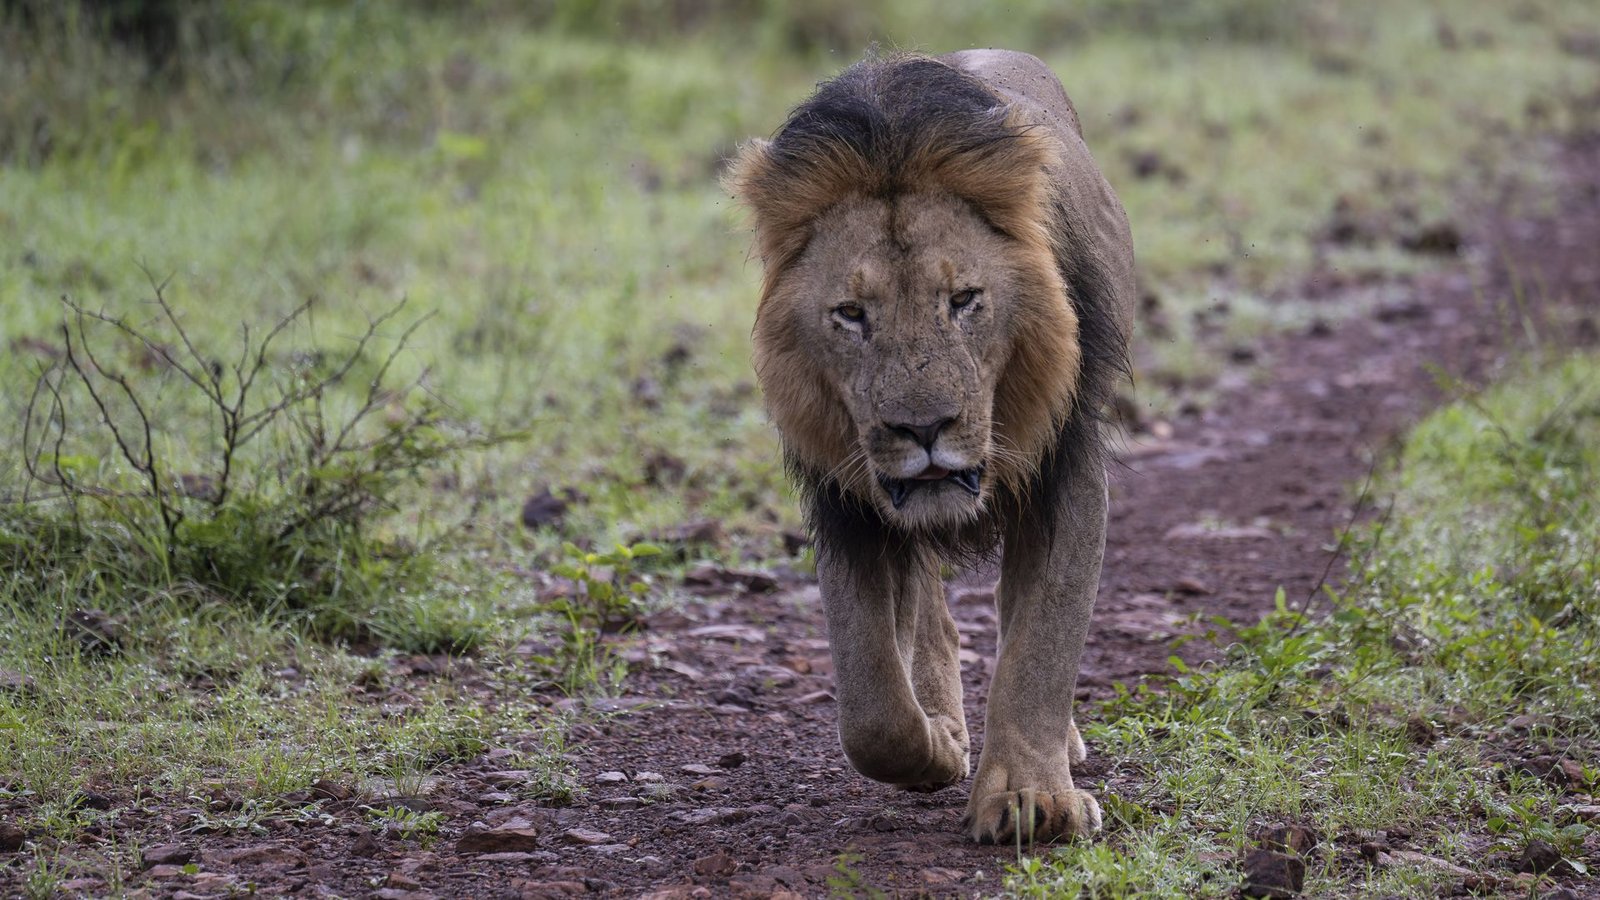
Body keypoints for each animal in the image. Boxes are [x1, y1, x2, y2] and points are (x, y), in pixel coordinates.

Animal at [728, 50, 1135, 844]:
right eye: (851, 314)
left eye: (964, 300)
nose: (923, 430)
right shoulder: (845, 498)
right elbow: (870, 703)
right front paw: (937, 750)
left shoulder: (1067, 465)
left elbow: (1044, 641)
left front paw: (1031, 799)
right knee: (929, 616)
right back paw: (945, 720)